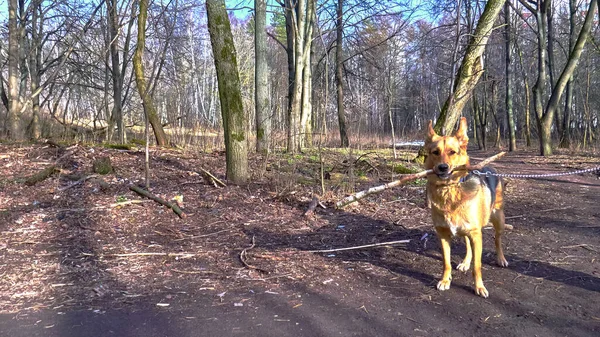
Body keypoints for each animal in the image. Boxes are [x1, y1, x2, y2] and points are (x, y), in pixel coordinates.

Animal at [424, 117, 508, 296]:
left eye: (452, 152)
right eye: (435, 152)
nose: (443, 167)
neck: (449, 189)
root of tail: (490, 168)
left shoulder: (476, 235)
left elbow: (477, 267)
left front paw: (479, 287)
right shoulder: (443, 235)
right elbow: (446, 262)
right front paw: (445, 280)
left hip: (499, 219)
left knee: (497, 240)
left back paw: (501, 258)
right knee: (468, 245)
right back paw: (465, 262)